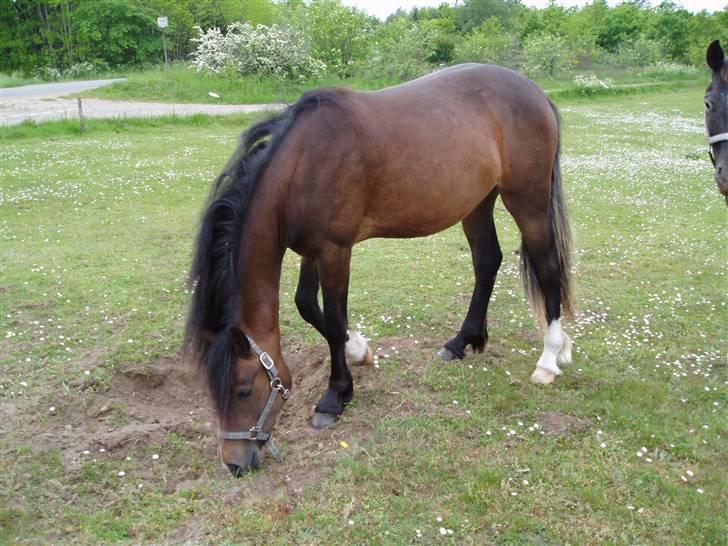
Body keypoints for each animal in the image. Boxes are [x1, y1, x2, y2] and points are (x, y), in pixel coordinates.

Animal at [186, 63, 576, 474]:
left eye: (243, 389)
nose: (234, 464)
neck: (304, 162)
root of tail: (536, 93)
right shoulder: (312, 249)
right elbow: (307, 304)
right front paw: (360, 351)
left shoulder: (335, 250)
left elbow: (334, 319)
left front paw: (335, 396)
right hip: (478, 202)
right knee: (487, 262)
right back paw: (462, 342)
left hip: (528, 201)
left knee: (548, 267)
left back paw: (550, 357)